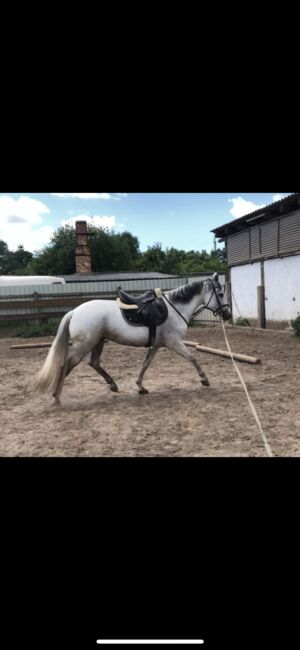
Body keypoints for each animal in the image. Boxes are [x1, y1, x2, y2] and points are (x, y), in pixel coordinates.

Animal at [32, 270, 230, 402]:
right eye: (220, 293)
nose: (227, 315)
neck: (175, 308)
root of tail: (74, 311)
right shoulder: (174, 343)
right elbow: (193, 358)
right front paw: (204, 379)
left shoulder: (156, 345)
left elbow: (145, 365)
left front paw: (141, 387)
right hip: (84, 345)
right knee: (67, 364)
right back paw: (56, 395)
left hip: (98, 341)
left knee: (93, 362)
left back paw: (112, 384)